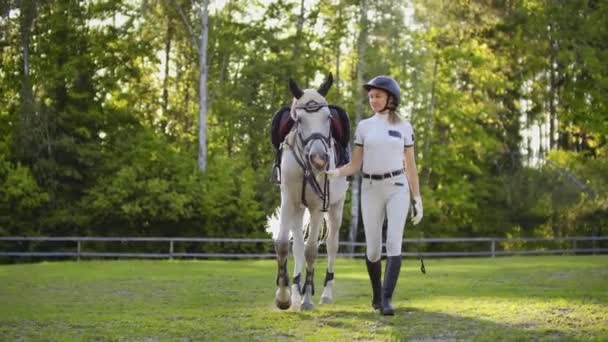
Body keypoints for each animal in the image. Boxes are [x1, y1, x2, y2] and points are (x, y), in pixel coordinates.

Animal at [274, 73, 350, 312]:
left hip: (335, 207)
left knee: (332, 246)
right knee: (297, 245)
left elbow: (312, 251)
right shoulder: (288, 201)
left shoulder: (318, 207)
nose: (319, 160)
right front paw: (284, 296)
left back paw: (325, 293)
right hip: (299, 209)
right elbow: (283, 245)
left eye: (328, 117)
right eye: (298, 120)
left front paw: (307, 298)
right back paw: (296, 290)